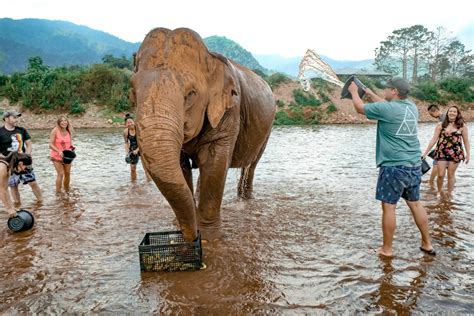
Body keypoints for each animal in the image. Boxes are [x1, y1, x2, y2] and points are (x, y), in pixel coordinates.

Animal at [131, 28, 276, 242]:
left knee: (251, 165)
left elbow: (214, 164)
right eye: (132, 91)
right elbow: (181, 165)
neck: (210, 58)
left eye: (190, 94)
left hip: (268, 129)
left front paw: (208, 238)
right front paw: (181, 227)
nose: (191, 238)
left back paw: (245, 200)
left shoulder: (229, 111)